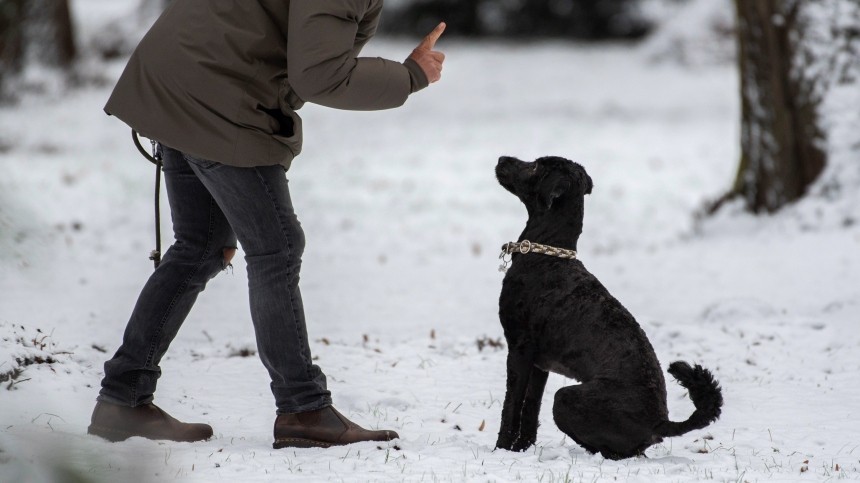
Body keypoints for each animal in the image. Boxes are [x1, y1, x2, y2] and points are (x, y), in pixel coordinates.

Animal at [494, 156, 724, 462]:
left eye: (534, 167)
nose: (501, 159)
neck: (547, 257)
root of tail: (659, 422)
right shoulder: (540, 363)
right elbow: (530, 408)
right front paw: (522, 449)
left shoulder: (519, 349)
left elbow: (511, 406)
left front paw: (501, 449)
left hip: (566, 399)